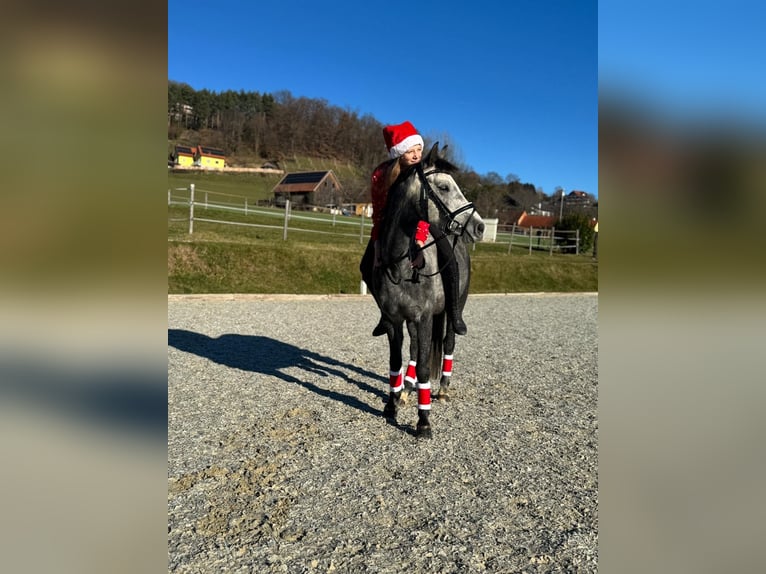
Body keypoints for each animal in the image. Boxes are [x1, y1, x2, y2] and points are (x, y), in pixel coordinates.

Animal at [371, 142, 485, 438]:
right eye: (444, 187)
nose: (479, 226)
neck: (401, 263)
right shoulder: (395, 320)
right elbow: (396, 362)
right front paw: (392, 405)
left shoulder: (423, 318)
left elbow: (423, 367)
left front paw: (423, 421)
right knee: (413, 349)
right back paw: (406, 390)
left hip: (452, 311)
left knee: (448, 342)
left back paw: (442, 389)